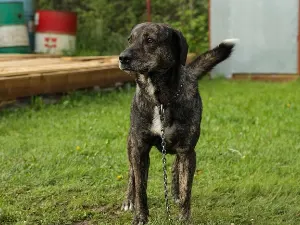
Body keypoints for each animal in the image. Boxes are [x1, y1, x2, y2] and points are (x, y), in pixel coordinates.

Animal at [118, 22, 237, 224]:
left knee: (175, 169)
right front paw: (140, 216)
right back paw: (128, 200)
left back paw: (174, 193)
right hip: (131, 145)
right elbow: (140, 187)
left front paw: (183, 215)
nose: (122, 58)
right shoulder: (139, 147)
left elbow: (186, 188)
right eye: (129, 40)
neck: (160, 100)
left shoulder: (187, 150)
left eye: (150, 40)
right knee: (132, 174)